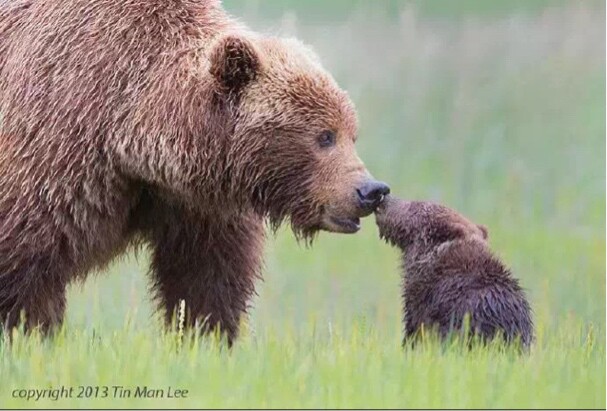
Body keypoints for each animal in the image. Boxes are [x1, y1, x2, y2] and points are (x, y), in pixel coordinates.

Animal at [0, 0, 390, 344]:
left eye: (351, 133)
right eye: (324, 136)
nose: (371, 190)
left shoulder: (196, 203)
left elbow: (206, 276)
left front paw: (204, 337)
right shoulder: (58, 147)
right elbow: (26, 262)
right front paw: (29, 333)